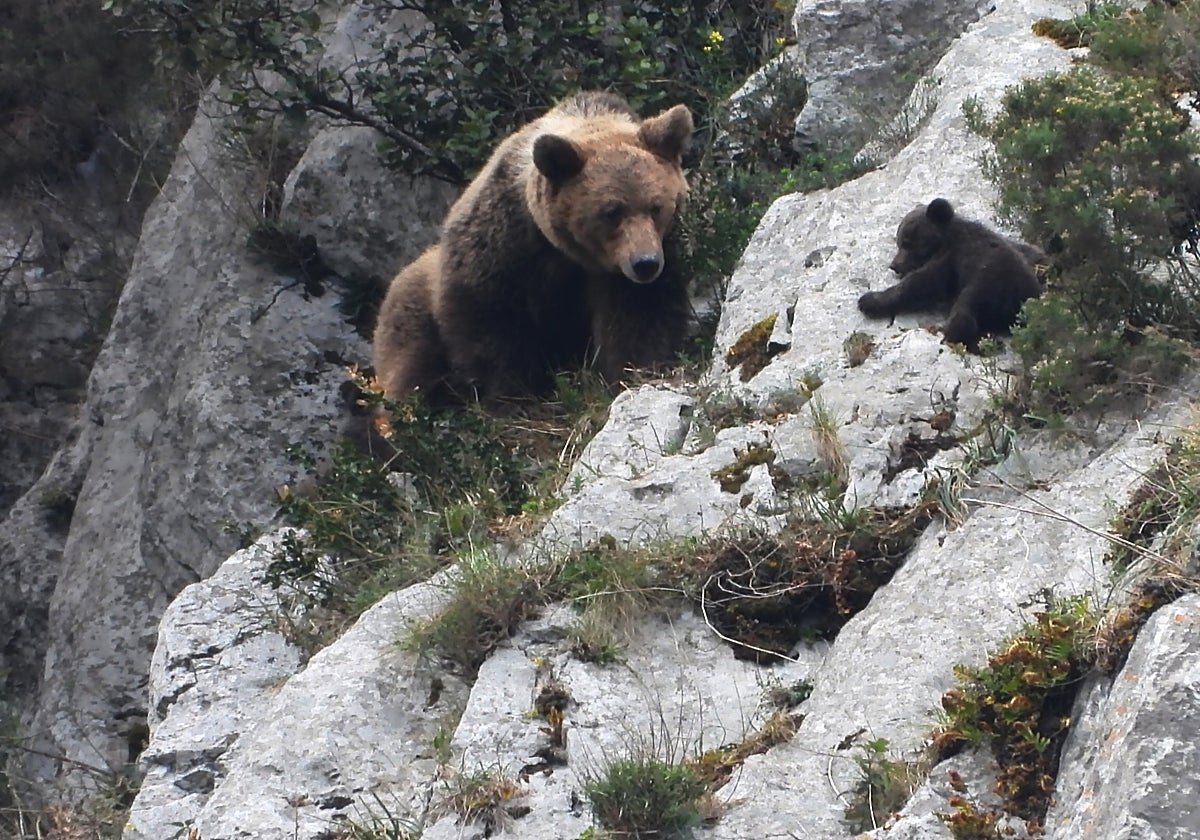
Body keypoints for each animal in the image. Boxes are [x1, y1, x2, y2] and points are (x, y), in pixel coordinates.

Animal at [372, 91, 694, 405]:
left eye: (656, 207)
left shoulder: (632, 267)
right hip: (413, 313)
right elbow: (495, 328)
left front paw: (636, 371)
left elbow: (639, 316)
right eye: (611, 211)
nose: (645, 263)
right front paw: (512, 396)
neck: (567, 253)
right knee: (415, 369)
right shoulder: (502, 247)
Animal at [857, 198, 1045, 351]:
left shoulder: (951, 258)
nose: (894, 265)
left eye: (907, 243)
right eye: (899, 241)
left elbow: (921, 284)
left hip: (986, 285)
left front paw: (869, 300)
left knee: (964, 314)